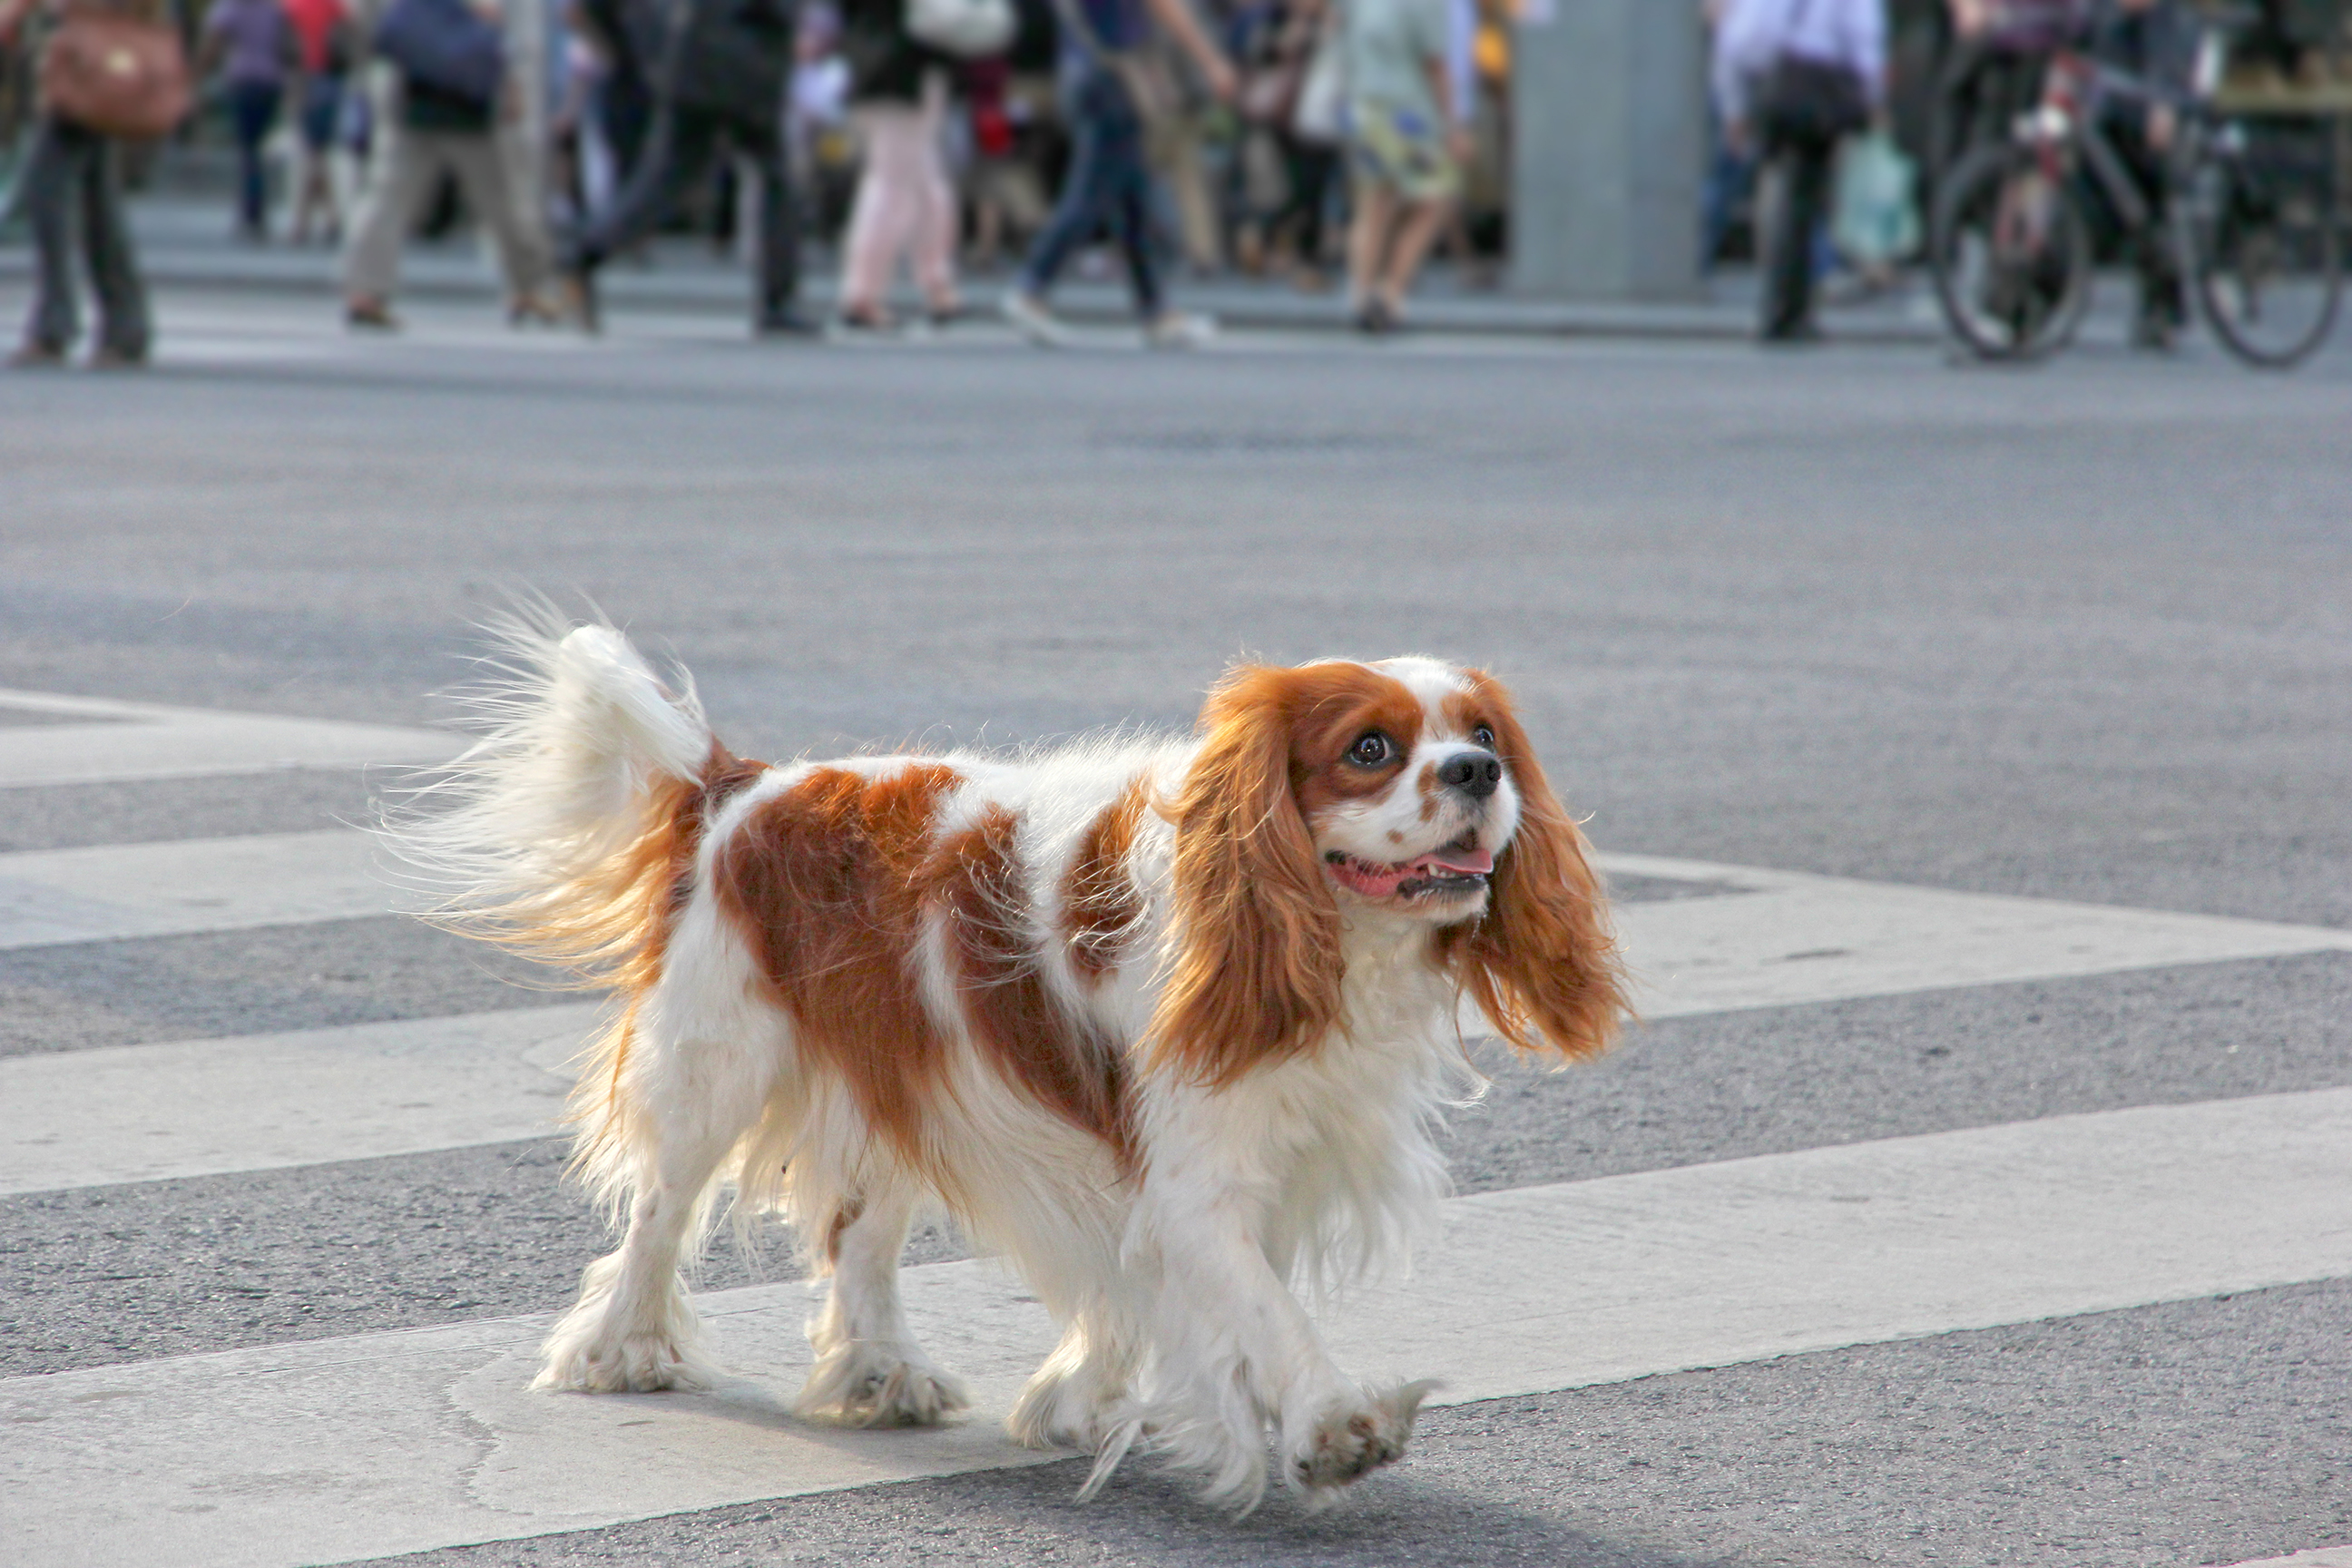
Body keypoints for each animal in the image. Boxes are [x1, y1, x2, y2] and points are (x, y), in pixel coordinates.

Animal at [395, 620, 1627, 1514]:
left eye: (1486, 735)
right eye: (1370, 750)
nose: (1475, 772)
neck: (1325, 942)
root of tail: (743, 784)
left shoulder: (1248, 1152)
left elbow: (1164, 1291)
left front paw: (1081, 1396)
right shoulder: (1196, 1173)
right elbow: (1264, 1311)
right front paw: (1332, 1428)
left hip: (905, 1075)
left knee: (858, 1234)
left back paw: (879, 1368)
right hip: (718, 1061)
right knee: (659, 1212)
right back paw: (622, 1350)